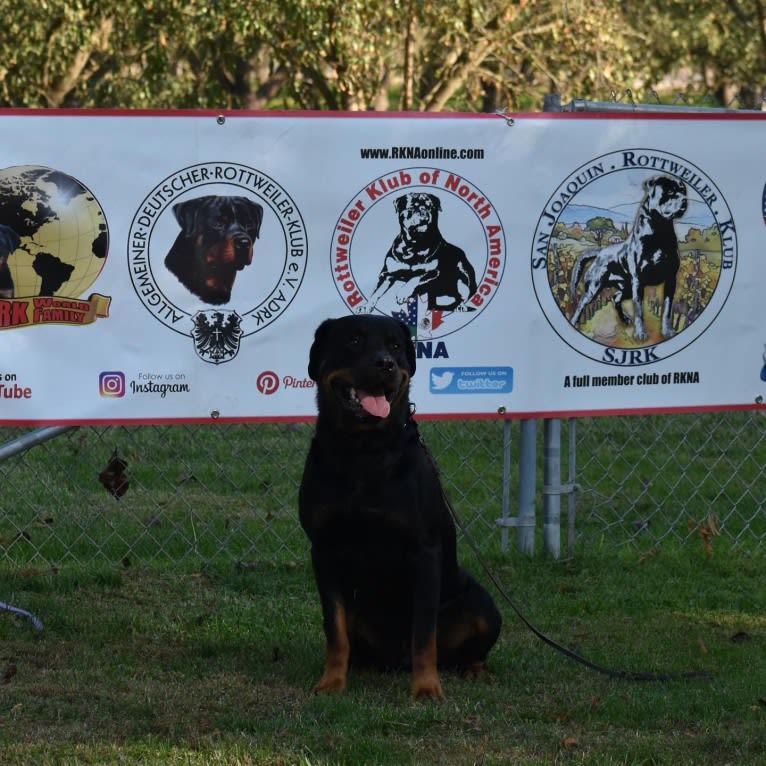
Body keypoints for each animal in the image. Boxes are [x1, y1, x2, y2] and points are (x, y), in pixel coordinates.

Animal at [300, 316, 504, 700]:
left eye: (395, 345)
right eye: (353, 340)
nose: (385, 364)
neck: (363, 450)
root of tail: (397, 660)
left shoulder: (424, 550)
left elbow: (423, 632)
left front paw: (426, 688)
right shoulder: (324, 549)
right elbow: (334, 629)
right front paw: (331, 682)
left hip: (482, 604)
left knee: (468, 645)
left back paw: (475, 670)